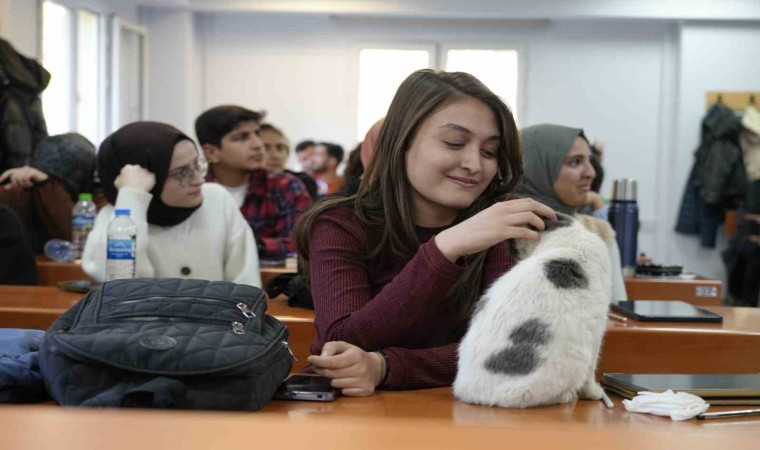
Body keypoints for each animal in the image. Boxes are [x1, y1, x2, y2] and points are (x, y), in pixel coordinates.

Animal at [454, 214, 608, 408]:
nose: (507, 247)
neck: (567, 237)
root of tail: (468, 392)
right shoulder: (597, 332)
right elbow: (591, 372)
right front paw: (593, 392)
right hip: (572, 360)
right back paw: (567, 396)